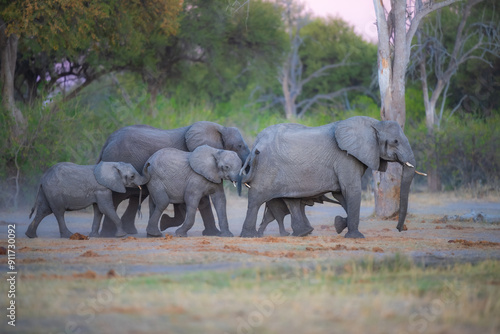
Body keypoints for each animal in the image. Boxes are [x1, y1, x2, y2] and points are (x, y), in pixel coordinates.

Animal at [96, 121, 249, 236]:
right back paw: (109, 234)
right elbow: (200, 200)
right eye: (239, 146)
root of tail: (107, 141)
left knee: (136, 197)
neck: (220, 128)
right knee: (117, 197)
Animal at [236, 116, 416, 239]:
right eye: (395, 141)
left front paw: (339, 224)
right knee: (256, 199)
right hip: (267, 169)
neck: (376, 124)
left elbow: (340, 193)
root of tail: (256, 142)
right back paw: (249, 236)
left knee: (290, 199)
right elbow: (351, 190)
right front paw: (355, 237)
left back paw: (302, 233)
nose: (399, 229)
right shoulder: (345, 158)